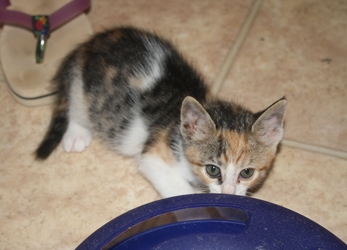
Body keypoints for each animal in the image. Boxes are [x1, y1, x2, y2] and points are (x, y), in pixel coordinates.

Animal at [35, 26, 286, 198]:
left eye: (247, 173)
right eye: (213, 170)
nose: (228, 193)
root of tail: (88, 44)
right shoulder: (154, 153)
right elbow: (179, 191)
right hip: (85, 89)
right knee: (76, 106)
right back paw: (77, 134)